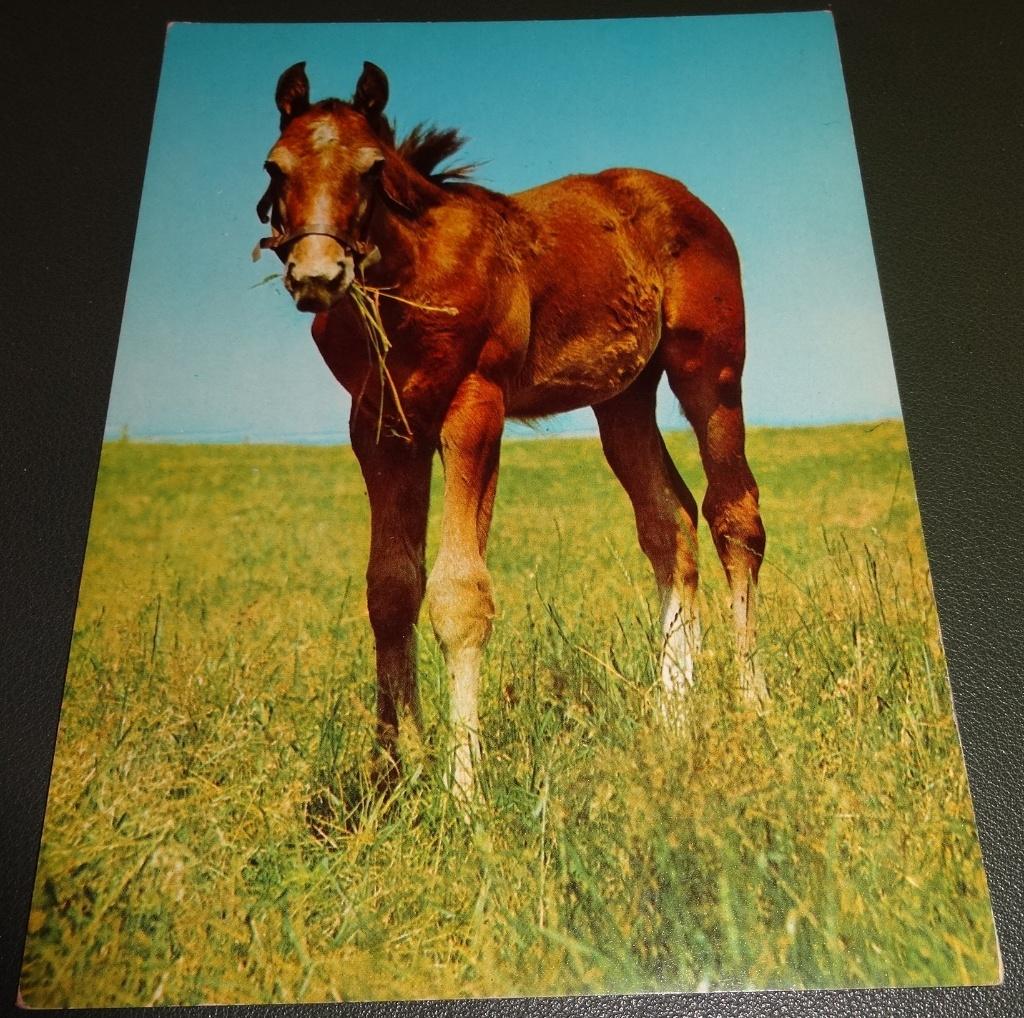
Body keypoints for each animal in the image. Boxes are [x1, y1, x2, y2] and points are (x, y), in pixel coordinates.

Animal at [255, 60, 767, 800]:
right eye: (276, 167)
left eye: (371, 167)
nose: (317, 275)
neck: (411, 277)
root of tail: (684, 199)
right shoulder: (381, 428)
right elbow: (391, 589)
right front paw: (396, 771)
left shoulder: (475, 406)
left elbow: (460, 593)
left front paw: (464, 787)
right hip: (622, 399)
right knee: (669, 522)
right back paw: (671, 716)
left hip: (711, 372)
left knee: (734, 517)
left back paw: (754, 706)